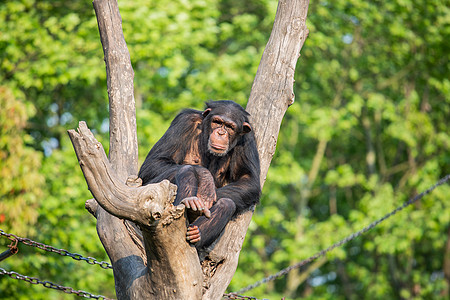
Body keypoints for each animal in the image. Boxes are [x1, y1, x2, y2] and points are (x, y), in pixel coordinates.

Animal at [139, 100, 262, 248]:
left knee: (227, 203)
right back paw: (190, 202)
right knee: (185, 171)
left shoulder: (247, 139)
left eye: (230, 127)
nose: (221, 133)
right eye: (217, 121)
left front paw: (206, 197)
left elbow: (248, 180)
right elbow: (154, 162)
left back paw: (196, 232)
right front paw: (205, 179)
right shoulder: (184, 121)